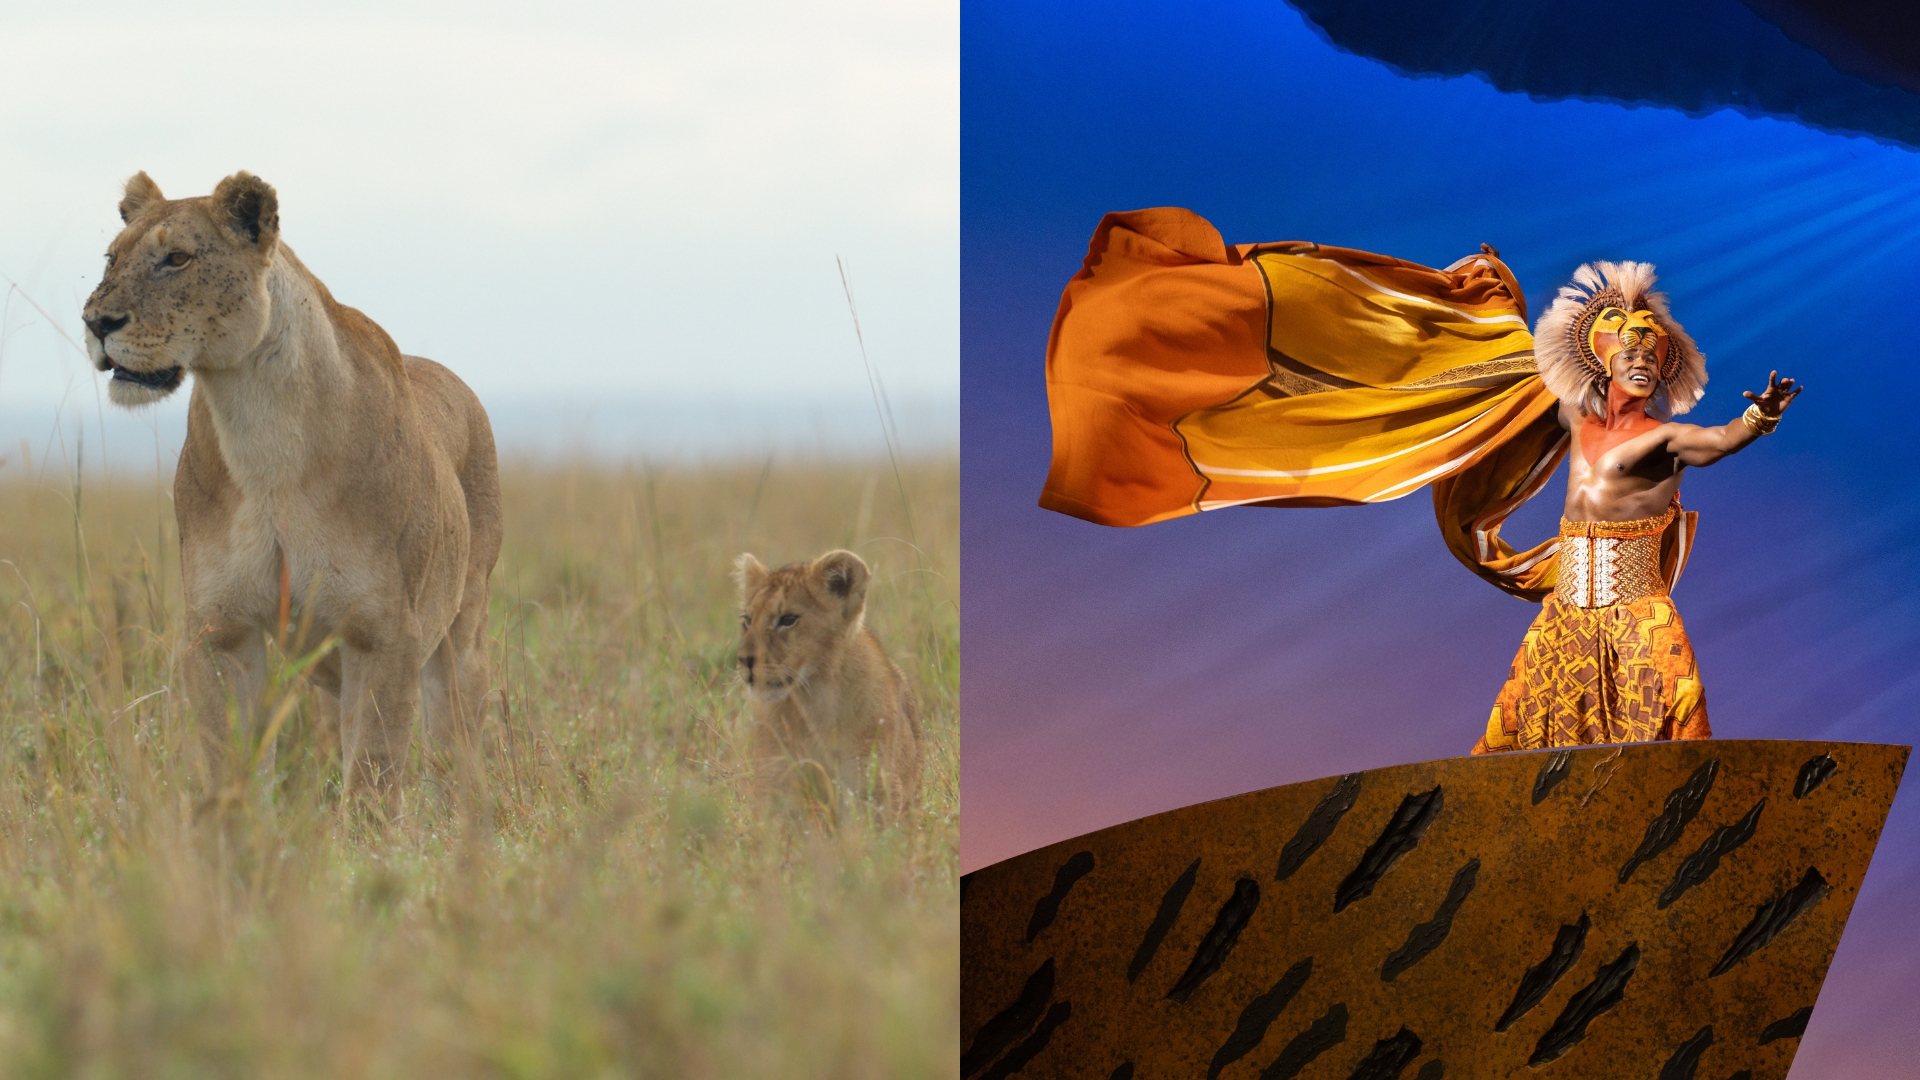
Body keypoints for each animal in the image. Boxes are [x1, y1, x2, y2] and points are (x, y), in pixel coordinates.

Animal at [82, 171, 502, 809]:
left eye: (177, 259)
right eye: (111, 258)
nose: (95, 323)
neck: (260, 430)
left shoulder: (384, 634)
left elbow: (373, 775)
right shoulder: (219, 630)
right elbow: (230, 760)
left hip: (462, 634)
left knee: (455, 748)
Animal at [734, 549, 922, 819]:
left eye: (787, 619)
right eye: (748, 620)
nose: (744, 660)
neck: (814, 700)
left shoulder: (870, 784)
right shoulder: (776, 782)